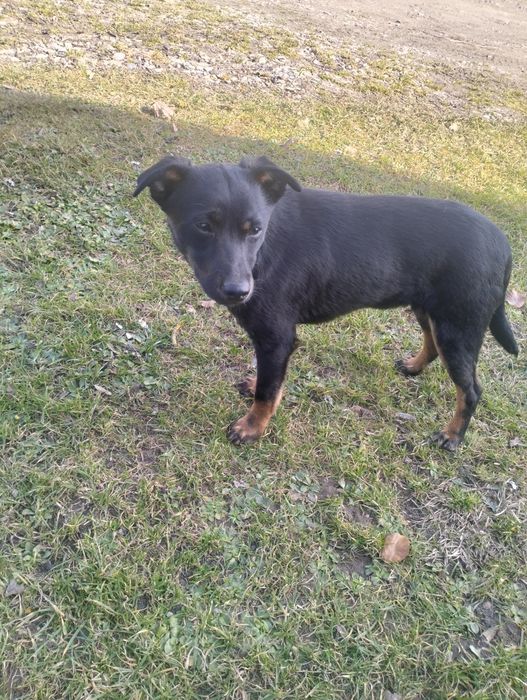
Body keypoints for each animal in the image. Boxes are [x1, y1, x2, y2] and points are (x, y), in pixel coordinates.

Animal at [134, 155, 518, 450]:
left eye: (255, 229)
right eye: (202, 226)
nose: (238, 291)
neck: (264, 250)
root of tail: (503, 243)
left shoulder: (277, 337)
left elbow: (267, 391)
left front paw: (252, 427)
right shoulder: (275, 341)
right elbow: (270, 381)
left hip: (459, 326)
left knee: (471, 390)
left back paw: (453, 436)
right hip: (431, 311)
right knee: (433, 345)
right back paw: (413, 366)